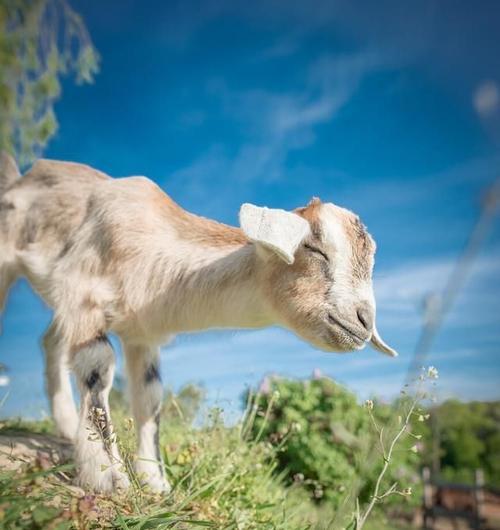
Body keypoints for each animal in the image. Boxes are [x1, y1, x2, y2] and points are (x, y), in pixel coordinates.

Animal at [0, 152, 398, 490]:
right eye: (315, 248)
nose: (363, 321)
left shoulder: (141, 332)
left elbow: (150, 395)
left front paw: (155, 483)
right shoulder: (83, 293)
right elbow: (98, 367)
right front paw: (108, 476)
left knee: (51, 341)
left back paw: (67, 427)